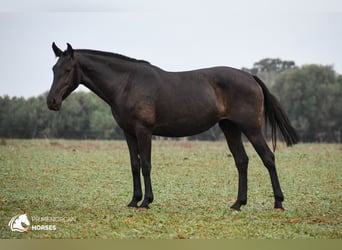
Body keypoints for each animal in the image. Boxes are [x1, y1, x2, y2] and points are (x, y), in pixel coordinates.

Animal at [46, 43, 298, 211]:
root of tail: (250, 77)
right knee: (242, 161)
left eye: (67, 70)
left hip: (251, 128)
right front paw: (133, 200)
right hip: (230, 128)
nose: (52, 102)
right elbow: (134, 165)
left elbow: (146, 165)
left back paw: (278, 202)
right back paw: (237, 204)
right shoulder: (128, 133)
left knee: (268, 158)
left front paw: (146, 202)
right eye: (53, 69)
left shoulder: (144, 131)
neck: (127, 83)